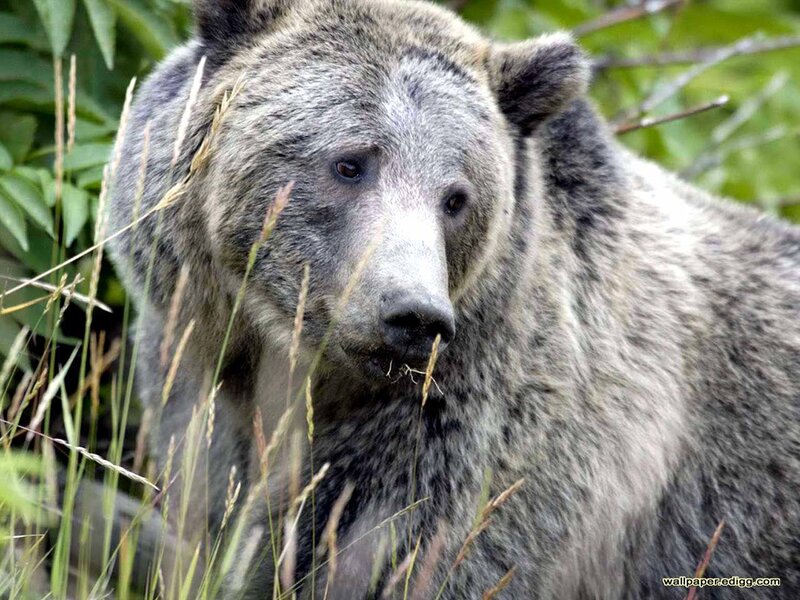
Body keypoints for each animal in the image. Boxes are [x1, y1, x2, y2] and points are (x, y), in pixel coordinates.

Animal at [106, 0, 800, 597]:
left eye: (456, 197)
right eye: (350, 163)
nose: (413, 314)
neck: (301, 371)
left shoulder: (473, 440)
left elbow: (392, 551)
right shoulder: (195, 374)